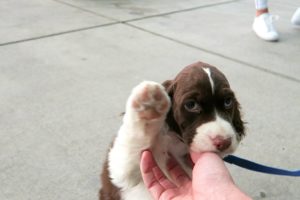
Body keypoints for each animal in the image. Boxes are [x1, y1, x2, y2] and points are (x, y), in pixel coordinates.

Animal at [99, 61, 245, 200]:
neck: (177, 144)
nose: (224, 143)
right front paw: (149, 105)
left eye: (228, 101)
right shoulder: (122, 171)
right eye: (191, 105)